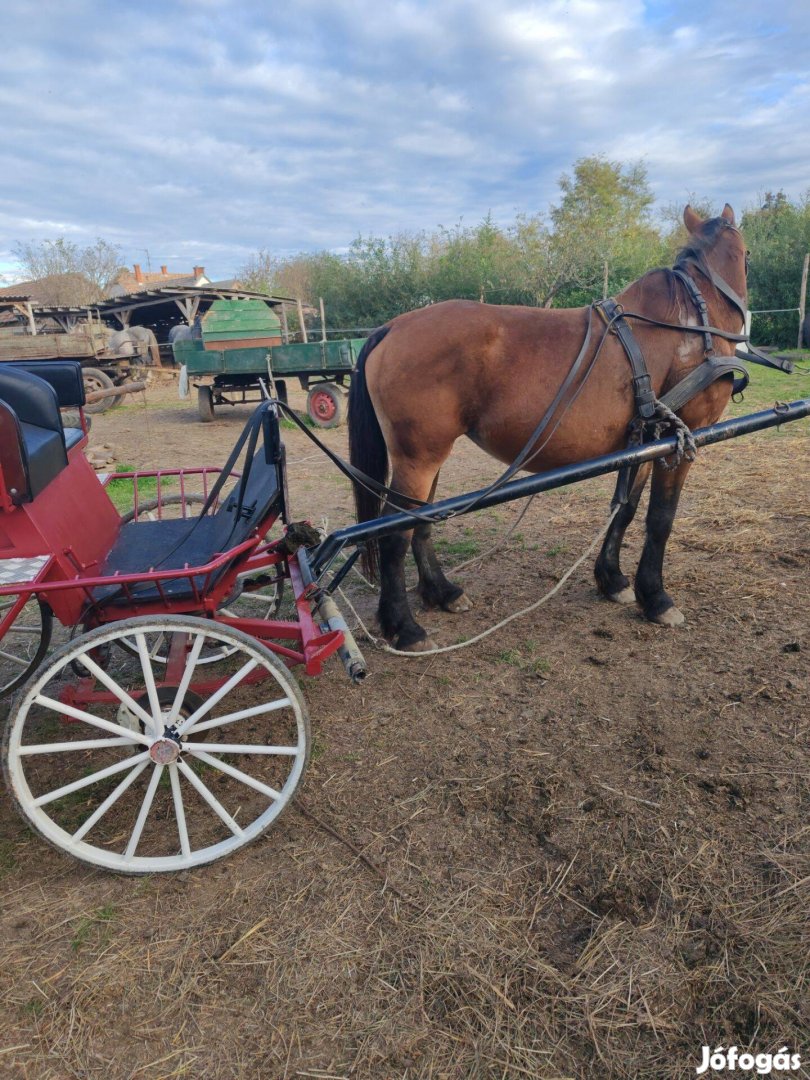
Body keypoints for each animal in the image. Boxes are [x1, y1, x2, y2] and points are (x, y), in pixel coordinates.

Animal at [345, 207, 751, 652]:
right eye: (747, 254)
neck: (687, 328)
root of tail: (392, 327)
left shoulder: (646, 441)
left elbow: (625, 509)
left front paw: (613, 579)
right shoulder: (680, 439)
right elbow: (660, 519)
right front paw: (656, 598)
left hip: (427, 457)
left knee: (420, 520)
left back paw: (442, 592)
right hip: (418, 458)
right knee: (393, 533)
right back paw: (404, 626)